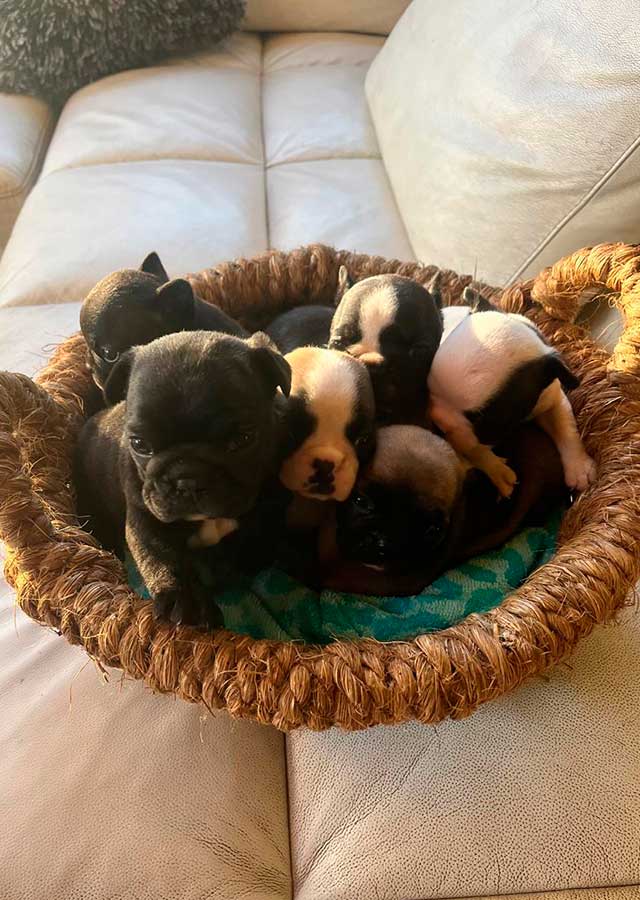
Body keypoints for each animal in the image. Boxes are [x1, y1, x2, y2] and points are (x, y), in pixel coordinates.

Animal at [74, 330, 291, 628]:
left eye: (243, 439)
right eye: (140, 444)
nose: (187, 480)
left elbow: (259, 526)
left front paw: (250, 558)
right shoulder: (146, 519)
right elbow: (164, 558)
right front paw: (187, 602)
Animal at [428, 286, 596, 497]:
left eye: (478, 420)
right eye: (427, 390)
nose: (438, 421)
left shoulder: (552, 397)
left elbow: (565, 427)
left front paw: (579, 468)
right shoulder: (463, 438)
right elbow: (475, 449)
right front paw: (496, 470)